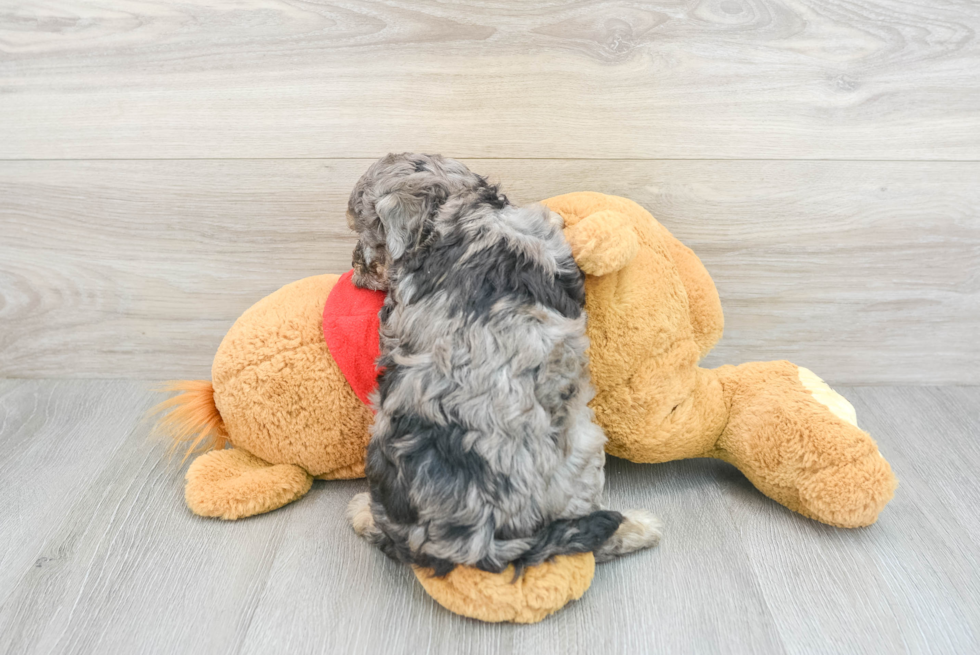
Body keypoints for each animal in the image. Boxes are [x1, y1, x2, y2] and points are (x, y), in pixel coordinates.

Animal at [344, 155, 660, 580]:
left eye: (366, 234)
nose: (355, 271)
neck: (459, 213)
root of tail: (479, 540)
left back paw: (362, 511)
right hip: (583, 444)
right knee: (584, 539)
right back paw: (638, 527)